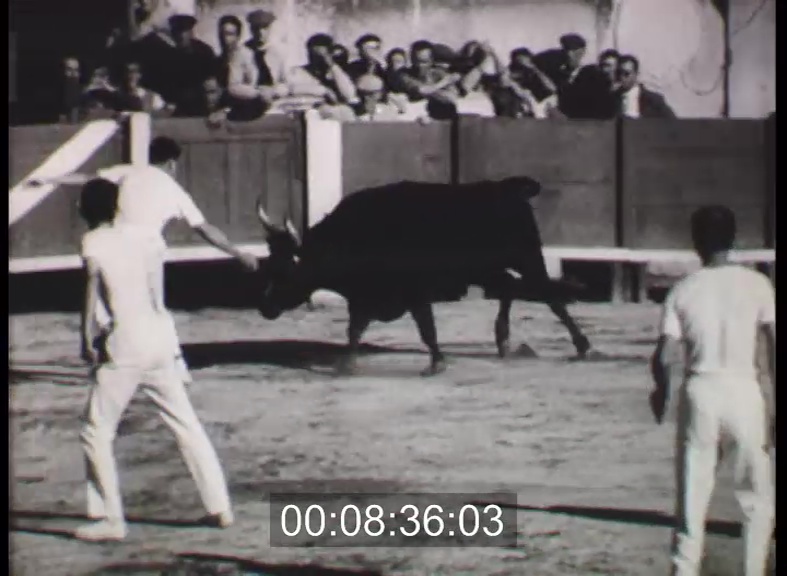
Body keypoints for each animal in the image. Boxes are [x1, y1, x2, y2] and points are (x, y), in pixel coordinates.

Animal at [255, 177, 595, 376]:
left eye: (284, 270)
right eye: (267, 264)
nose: (264, 307)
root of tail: (507, 188)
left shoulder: (415, 292)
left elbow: (426, 328)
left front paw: (436, 364)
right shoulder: (364, 296)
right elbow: (354, 329)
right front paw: (347, 365)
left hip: (527, 257)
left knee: (548, 294)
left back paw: (581, 345)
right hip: (486, 270)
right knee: (509, 287)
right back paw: (503, 341)